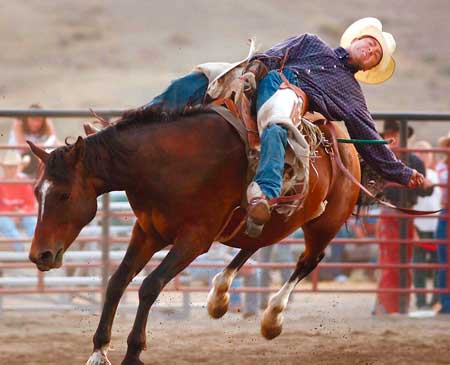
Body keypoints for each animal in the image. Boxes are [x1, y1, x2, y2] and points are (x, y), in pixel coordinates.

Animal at [27, 107, 358, 364]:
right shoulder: (147, 232)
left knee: (309, 260)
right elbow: (117, 282)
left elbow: (150, 285)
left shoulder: (194, 240)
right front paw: (99, 351)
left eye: (64, 194)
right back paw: (219, 295)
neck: (163, 165)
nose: (39, 255)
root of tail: (344, 145)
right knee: (253, 243)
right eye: (36, 191)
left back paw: (272, 317)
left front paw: (133, 352)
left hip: (324, 224)